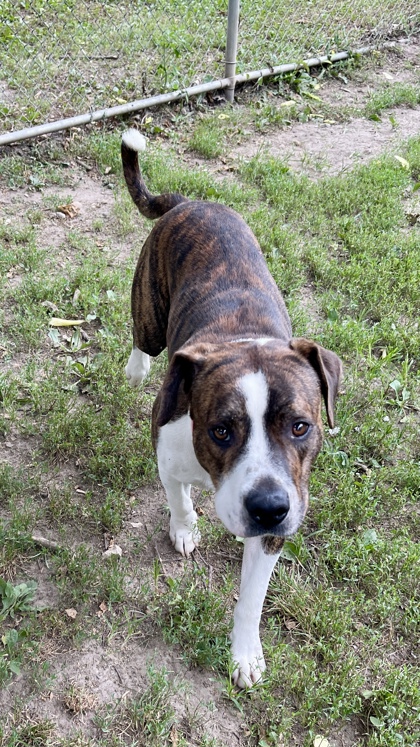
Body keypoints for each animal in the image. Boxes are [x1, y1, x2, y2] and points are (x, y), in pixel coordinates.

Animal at [122, 129, 342, 689]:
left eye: (301, 426)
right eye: (221, 430)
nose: (268, 507)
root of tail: (189, 202)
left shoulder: (274, 534)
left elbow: (251, 600)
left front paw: (244, 654)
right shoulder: (167, 453)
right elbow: (178, 499)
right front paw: (184, 530)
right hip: (150, 316)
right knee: (141, 338)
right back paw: (136, 369)